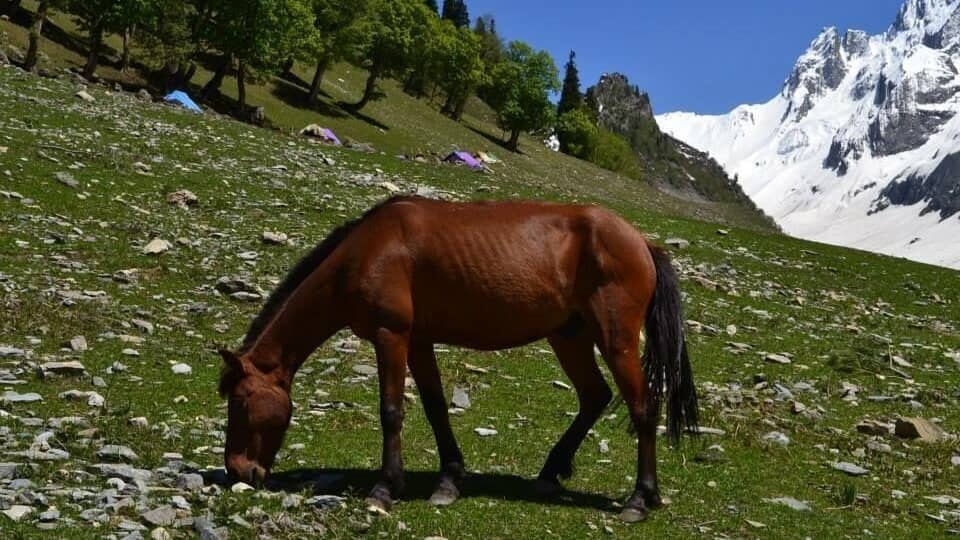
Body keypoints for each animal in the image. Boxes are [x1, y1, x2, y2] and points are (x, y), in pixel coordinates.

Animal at [217, 196, 698, 523]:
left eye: (240, 402)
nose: (238, 471)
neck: (369, 251)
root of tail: (642, 241)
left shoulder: (392, 336)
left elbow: (391, 411)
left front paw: (385, 487)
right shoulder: (417, 342)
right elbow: (434, 409)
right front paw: (449, 480)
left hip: (615, 340)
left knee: (643, 408)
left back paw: (640, 498)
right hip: (570, 337)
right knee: (594, 397)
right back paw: (551, 471)